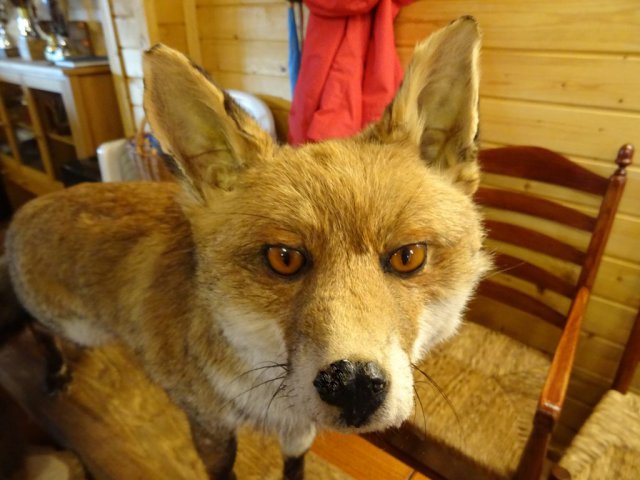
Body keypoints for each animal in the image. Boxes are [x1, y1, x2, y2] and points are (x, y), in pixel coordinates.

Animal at [1, 15, 490, 480]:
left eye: (408, 257)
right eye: (284, 259)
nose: (351, 383)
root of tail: (29, 207)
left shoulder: (297, 427)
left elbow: (294, 466)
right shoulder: (208, 428)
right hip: (72, 324)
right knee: (33, 324)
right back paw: (53, 369)